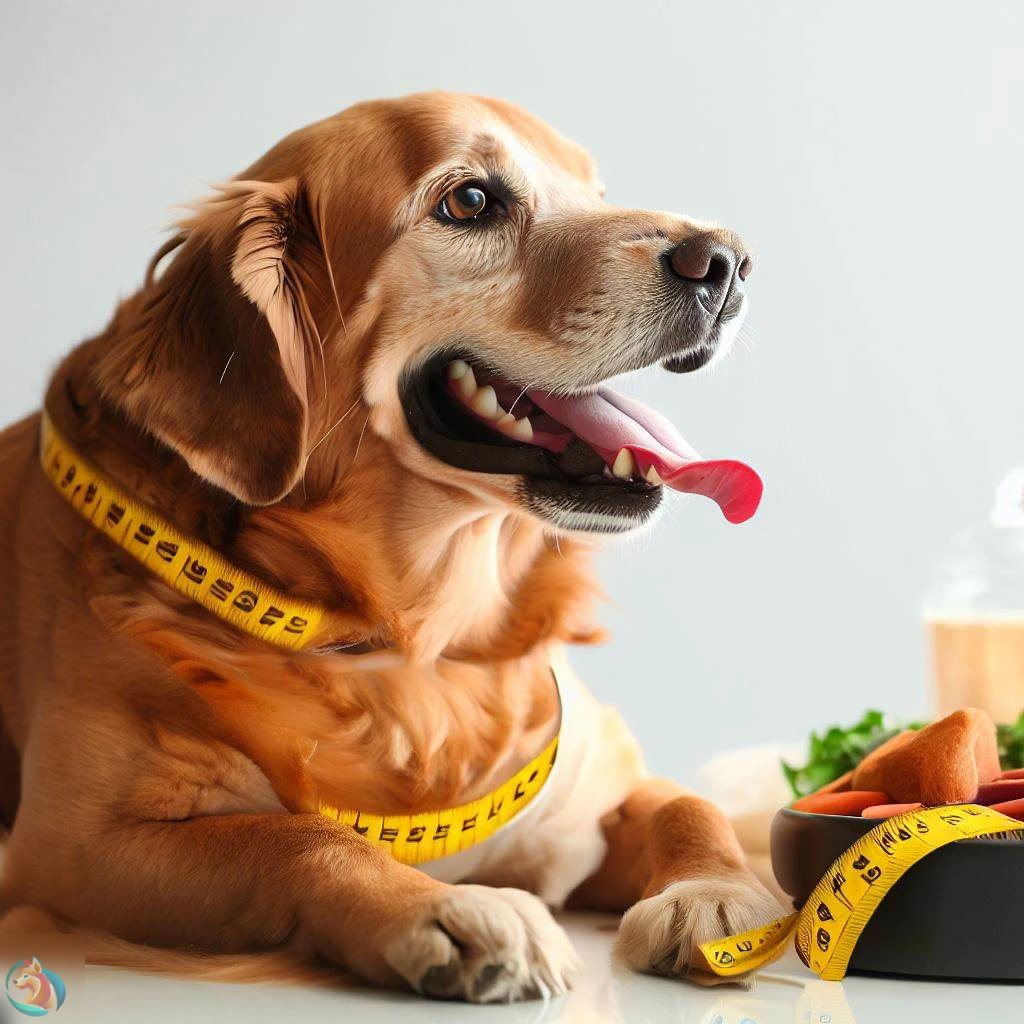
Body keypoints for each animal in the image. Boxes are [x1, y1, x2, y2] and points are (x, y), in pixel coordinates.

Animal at [0, 92, 774, 1003]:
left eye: (595, 191)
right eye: (469, 202)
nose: (726, 261)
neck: (417, 640)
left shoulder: (590, 794)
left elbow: (688, 803)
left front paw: (716, 893)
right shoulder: (72, 846)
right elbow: (296, 837)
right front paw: (443, 908)